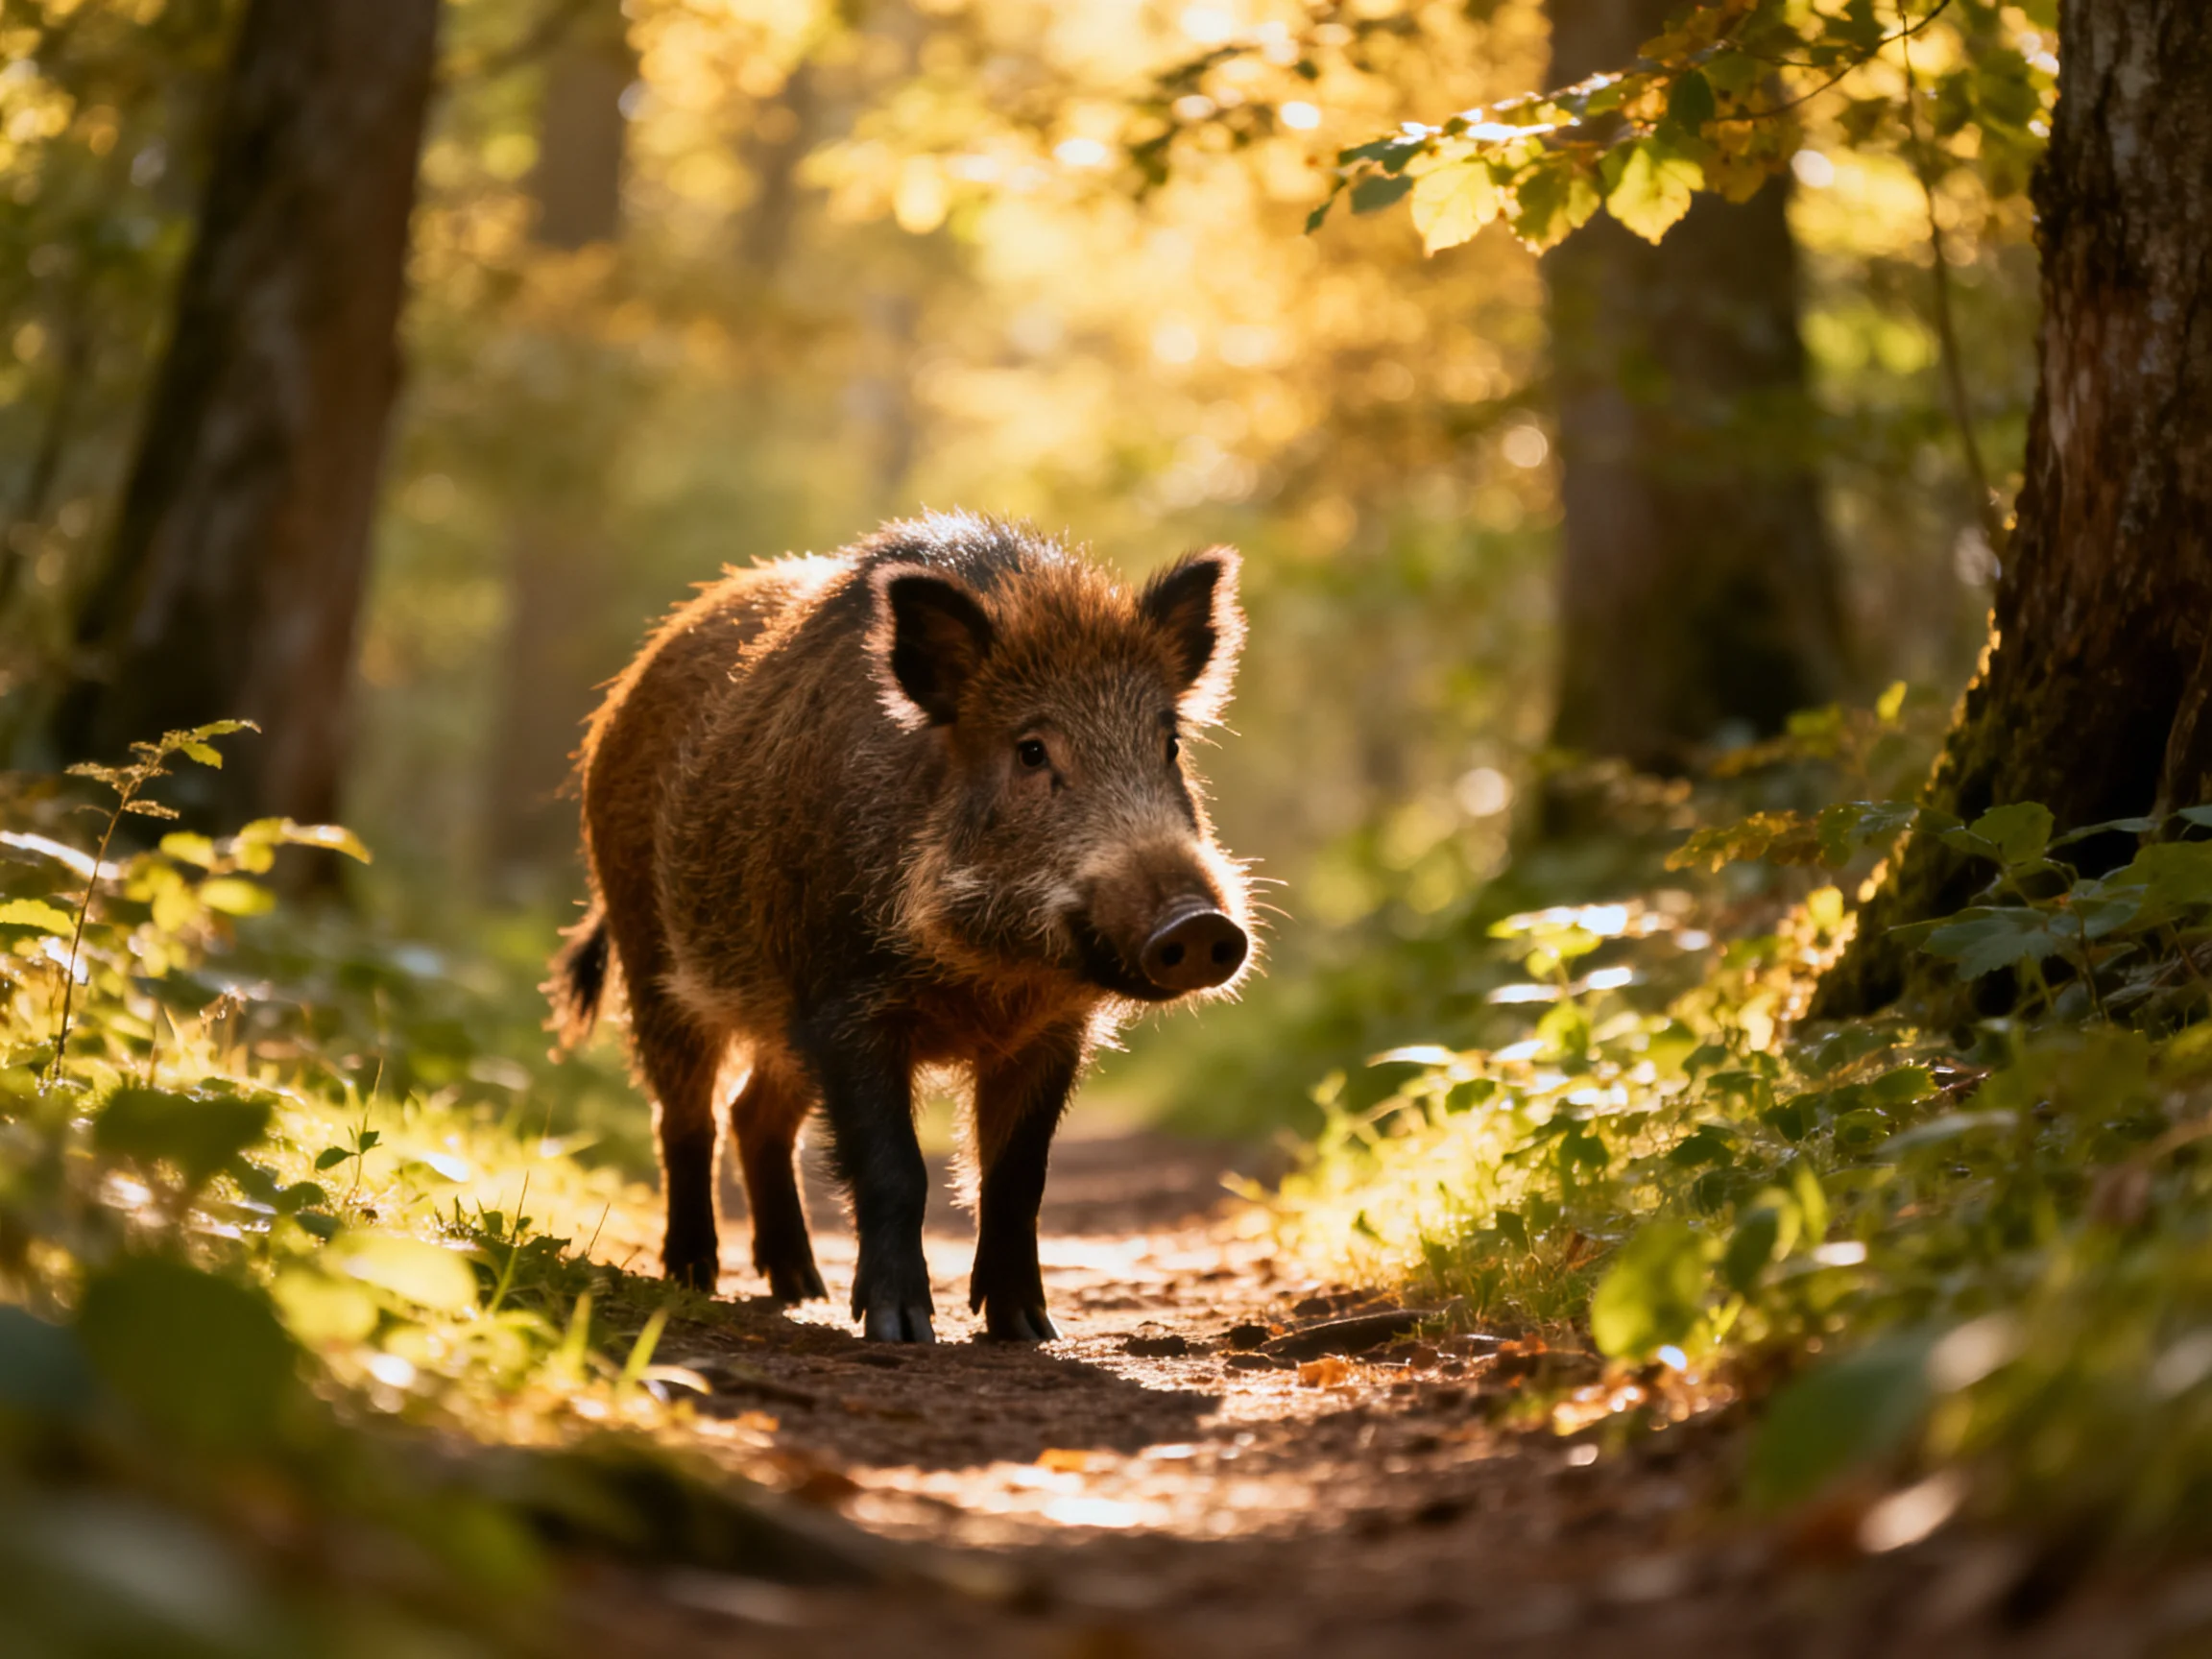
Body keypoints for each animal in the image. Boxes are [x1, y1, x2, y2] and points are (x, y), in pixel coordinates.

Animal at [547, 512, 1252, 1342]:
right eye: (1031, 750)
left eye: (1168, 745)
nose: (1201, 925)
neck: (990, 972)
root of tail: (618, 703)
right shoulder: (844, 1003)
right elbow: (895, 1167)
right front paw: (900, 1329)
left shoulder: (1051, 1031)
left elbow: (1019, 1178)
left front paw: (1027, 1329)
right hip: (652, 959)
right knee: (687, 1118)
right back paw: (694, 1278)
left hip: (779, 1024)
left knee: (755, 1114)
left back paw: (800, 1287)